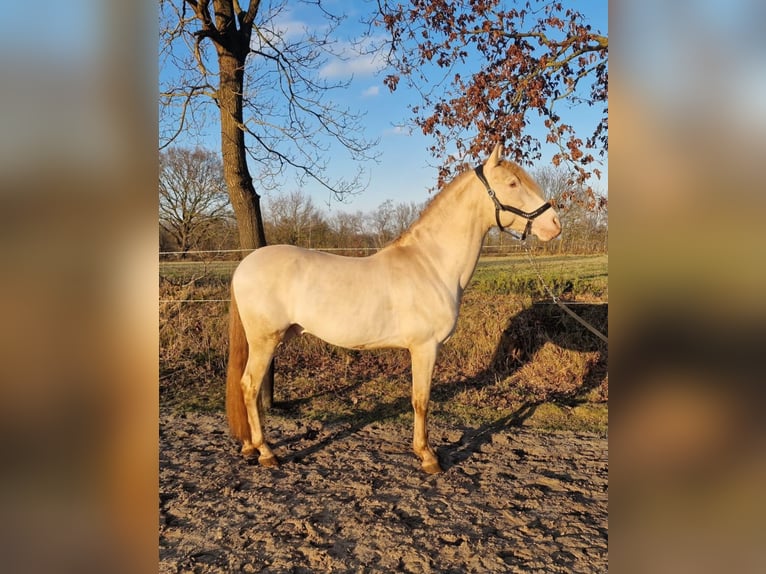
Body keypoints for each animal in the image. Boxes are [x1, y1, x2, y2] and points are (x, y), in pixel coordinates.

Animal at [228, 143, 564, 472]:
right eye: (512, 183)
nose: (555, 225)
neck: (432, 264)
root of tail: (244, 265)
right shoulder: (425, 347)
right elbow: (421, 400)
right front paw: (428, 456)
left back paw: (249, 447)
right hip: (265, 341)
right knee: (249, 387)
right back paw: (266, 452)